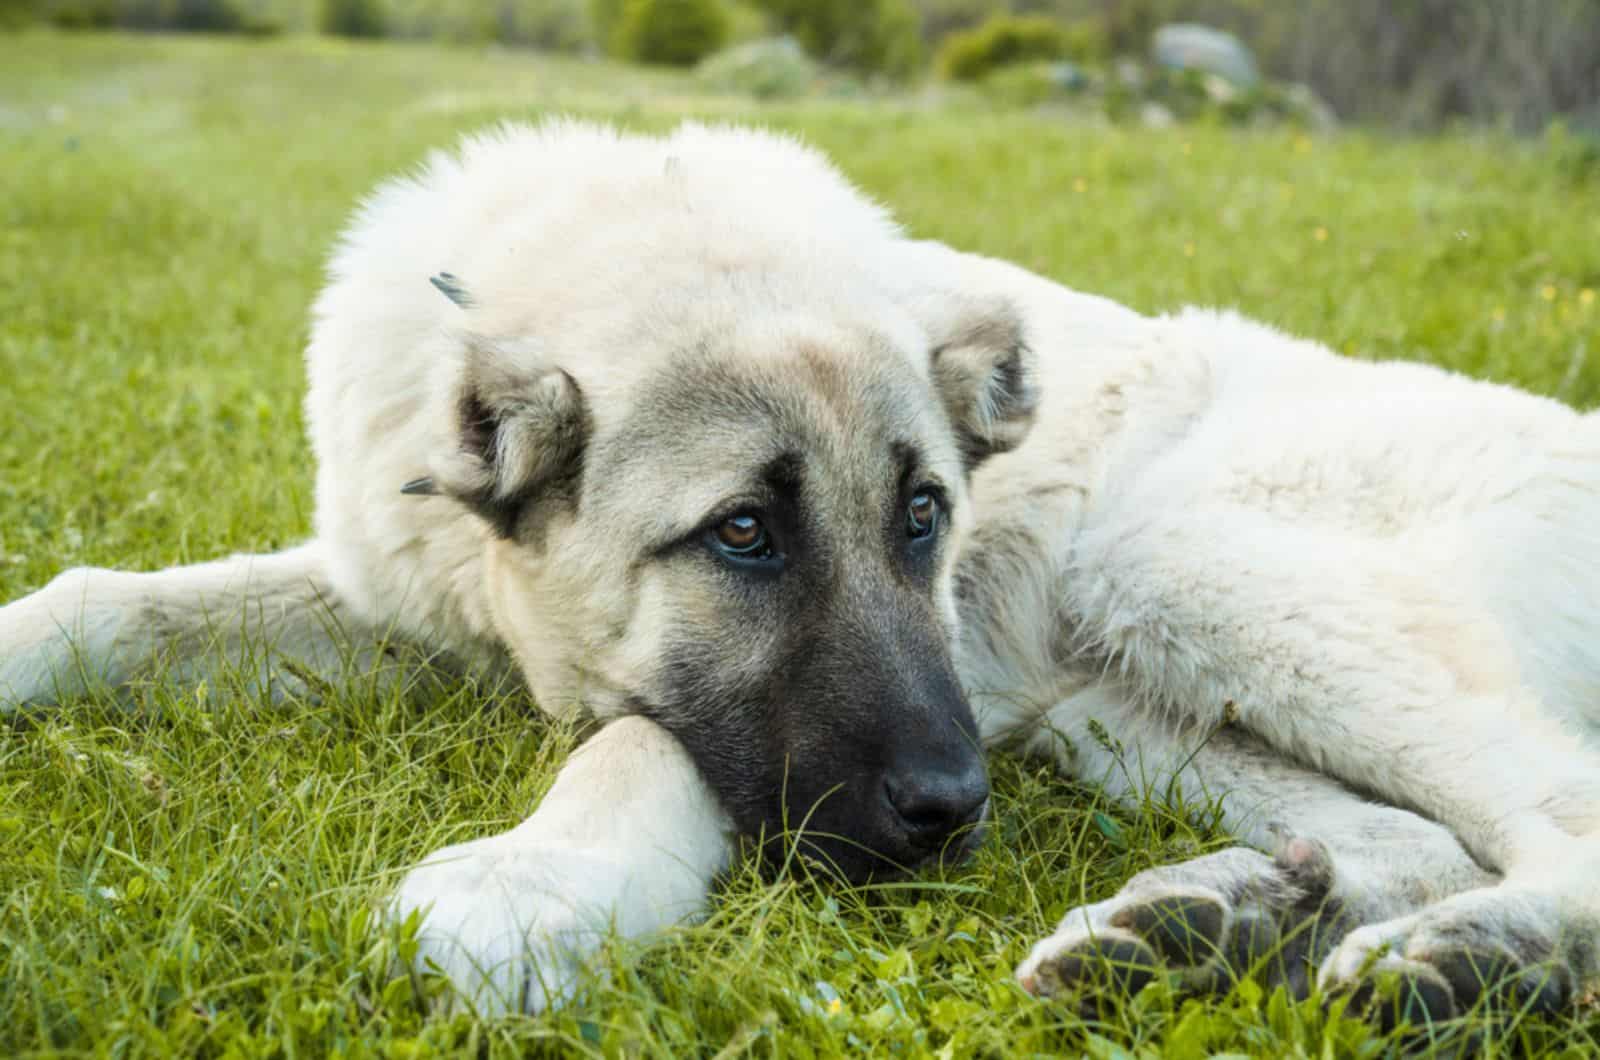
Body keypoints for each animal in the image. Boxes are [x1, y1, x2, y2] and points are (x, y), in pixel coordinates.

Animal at [3, 120, 1600, 1024]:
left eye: (926, 517)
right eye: (743, 533)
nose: (955, 813)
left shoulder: (696, 710)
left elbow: (643, 736)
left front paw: (534, 882)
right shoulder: (406, 603)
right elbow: (105, 606)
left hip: (1178, 564)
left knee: (1554, 815)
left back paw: (1479, 959)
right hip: (1122, 710)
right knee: (1418, 837)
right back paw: (1209, 929)